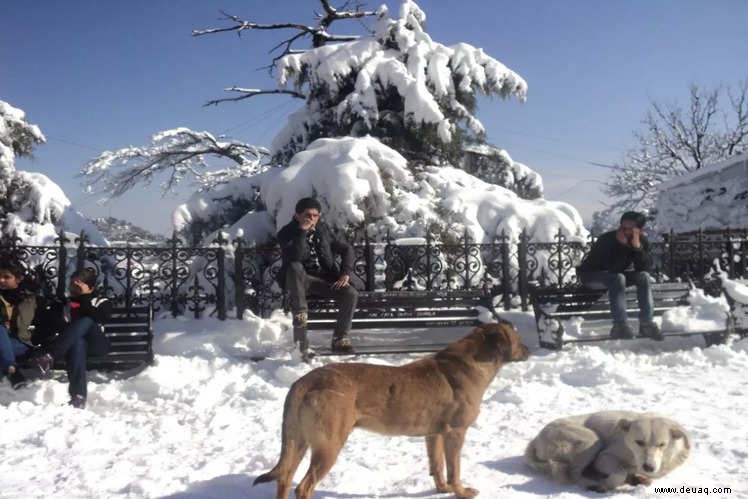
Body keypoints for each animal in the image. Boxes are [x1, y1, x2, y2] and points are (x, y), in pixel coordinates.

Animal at [524, 410, 688, 492]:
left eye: (662, 444)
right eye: (639, 442)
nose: (648, 467)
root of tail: (535, 440)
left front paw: (634, 477)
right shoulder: (603, 457)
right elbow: (620, 472)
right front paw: (608, 483)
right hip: (592, 440)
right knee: (573, 473)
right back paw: (591, 484)